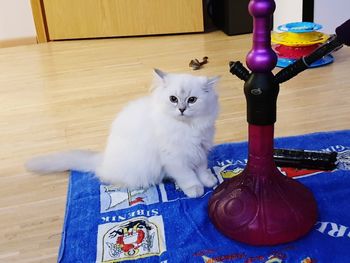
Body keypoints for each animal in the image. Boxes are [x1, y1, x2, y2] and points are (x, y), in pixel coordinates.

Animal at [26, 69, 220, 198]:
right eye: (173, 99)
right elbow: (188, 176)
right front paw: (195, 189)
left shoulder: (201, 151)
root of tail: (104, 159)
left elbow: (202, 170)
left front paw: (209, 181)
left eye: (192, 100)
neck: (188, 127)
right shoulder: (175, 159)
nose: (181, 109)